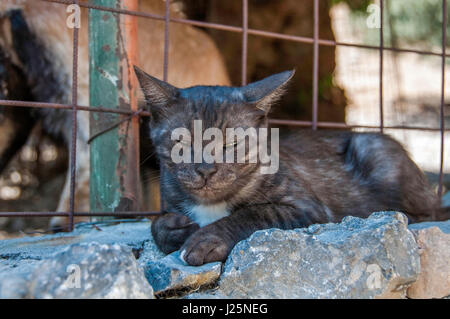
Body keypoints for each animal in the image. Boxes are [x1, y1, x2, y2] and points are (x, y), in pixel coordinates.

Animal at [134, 67, 442, 268]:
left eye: (232, 143)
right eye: (182, 141)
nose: (206, 170)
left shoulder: (312, 210)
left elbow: (257, 213)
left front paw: (207, 239)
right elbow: (155, 224)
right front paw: (176, 229)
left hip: (373, 149)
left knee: (425, 211)